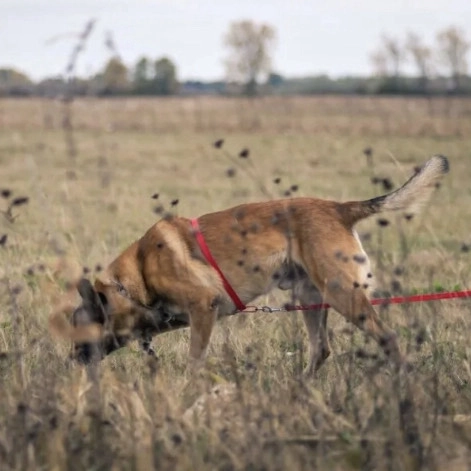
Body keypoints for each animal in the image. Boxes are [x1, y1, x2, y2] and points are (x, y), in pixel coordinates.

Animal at [70, 156, 450, 376]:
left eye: (78, 328)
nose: (70, 362)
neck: (137, 277)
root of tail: (339, 208)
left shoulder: (203, 307)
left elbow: (194, 362)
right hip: (311, 297)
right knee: (321, 349)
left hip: (342, 295)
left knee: (387, 337)